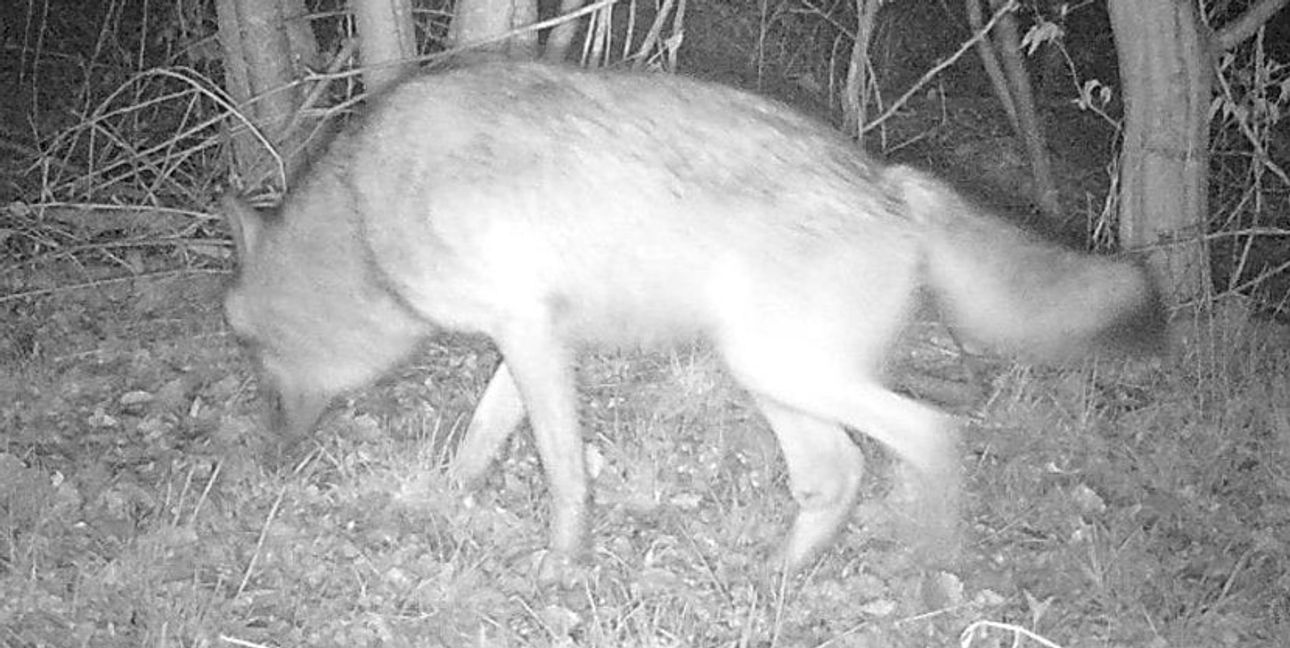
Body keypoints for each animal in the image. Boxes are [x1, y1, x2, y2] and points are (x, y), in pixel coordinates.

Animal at [222, 60, 1165, 578]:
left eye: (250, 350)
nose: (265, 455)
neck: (365, 206)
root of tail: (893, 183)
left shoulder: (525, 330)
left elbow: (563, 473)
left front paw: (560, 568)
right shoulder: (532, 337)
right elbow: (480, 442)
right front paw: (447, 504)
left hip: (783, 371)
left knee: (935, 436)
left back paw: (925, 576)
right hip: (770, 376)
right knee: (837, 475)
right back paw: (773, 580)